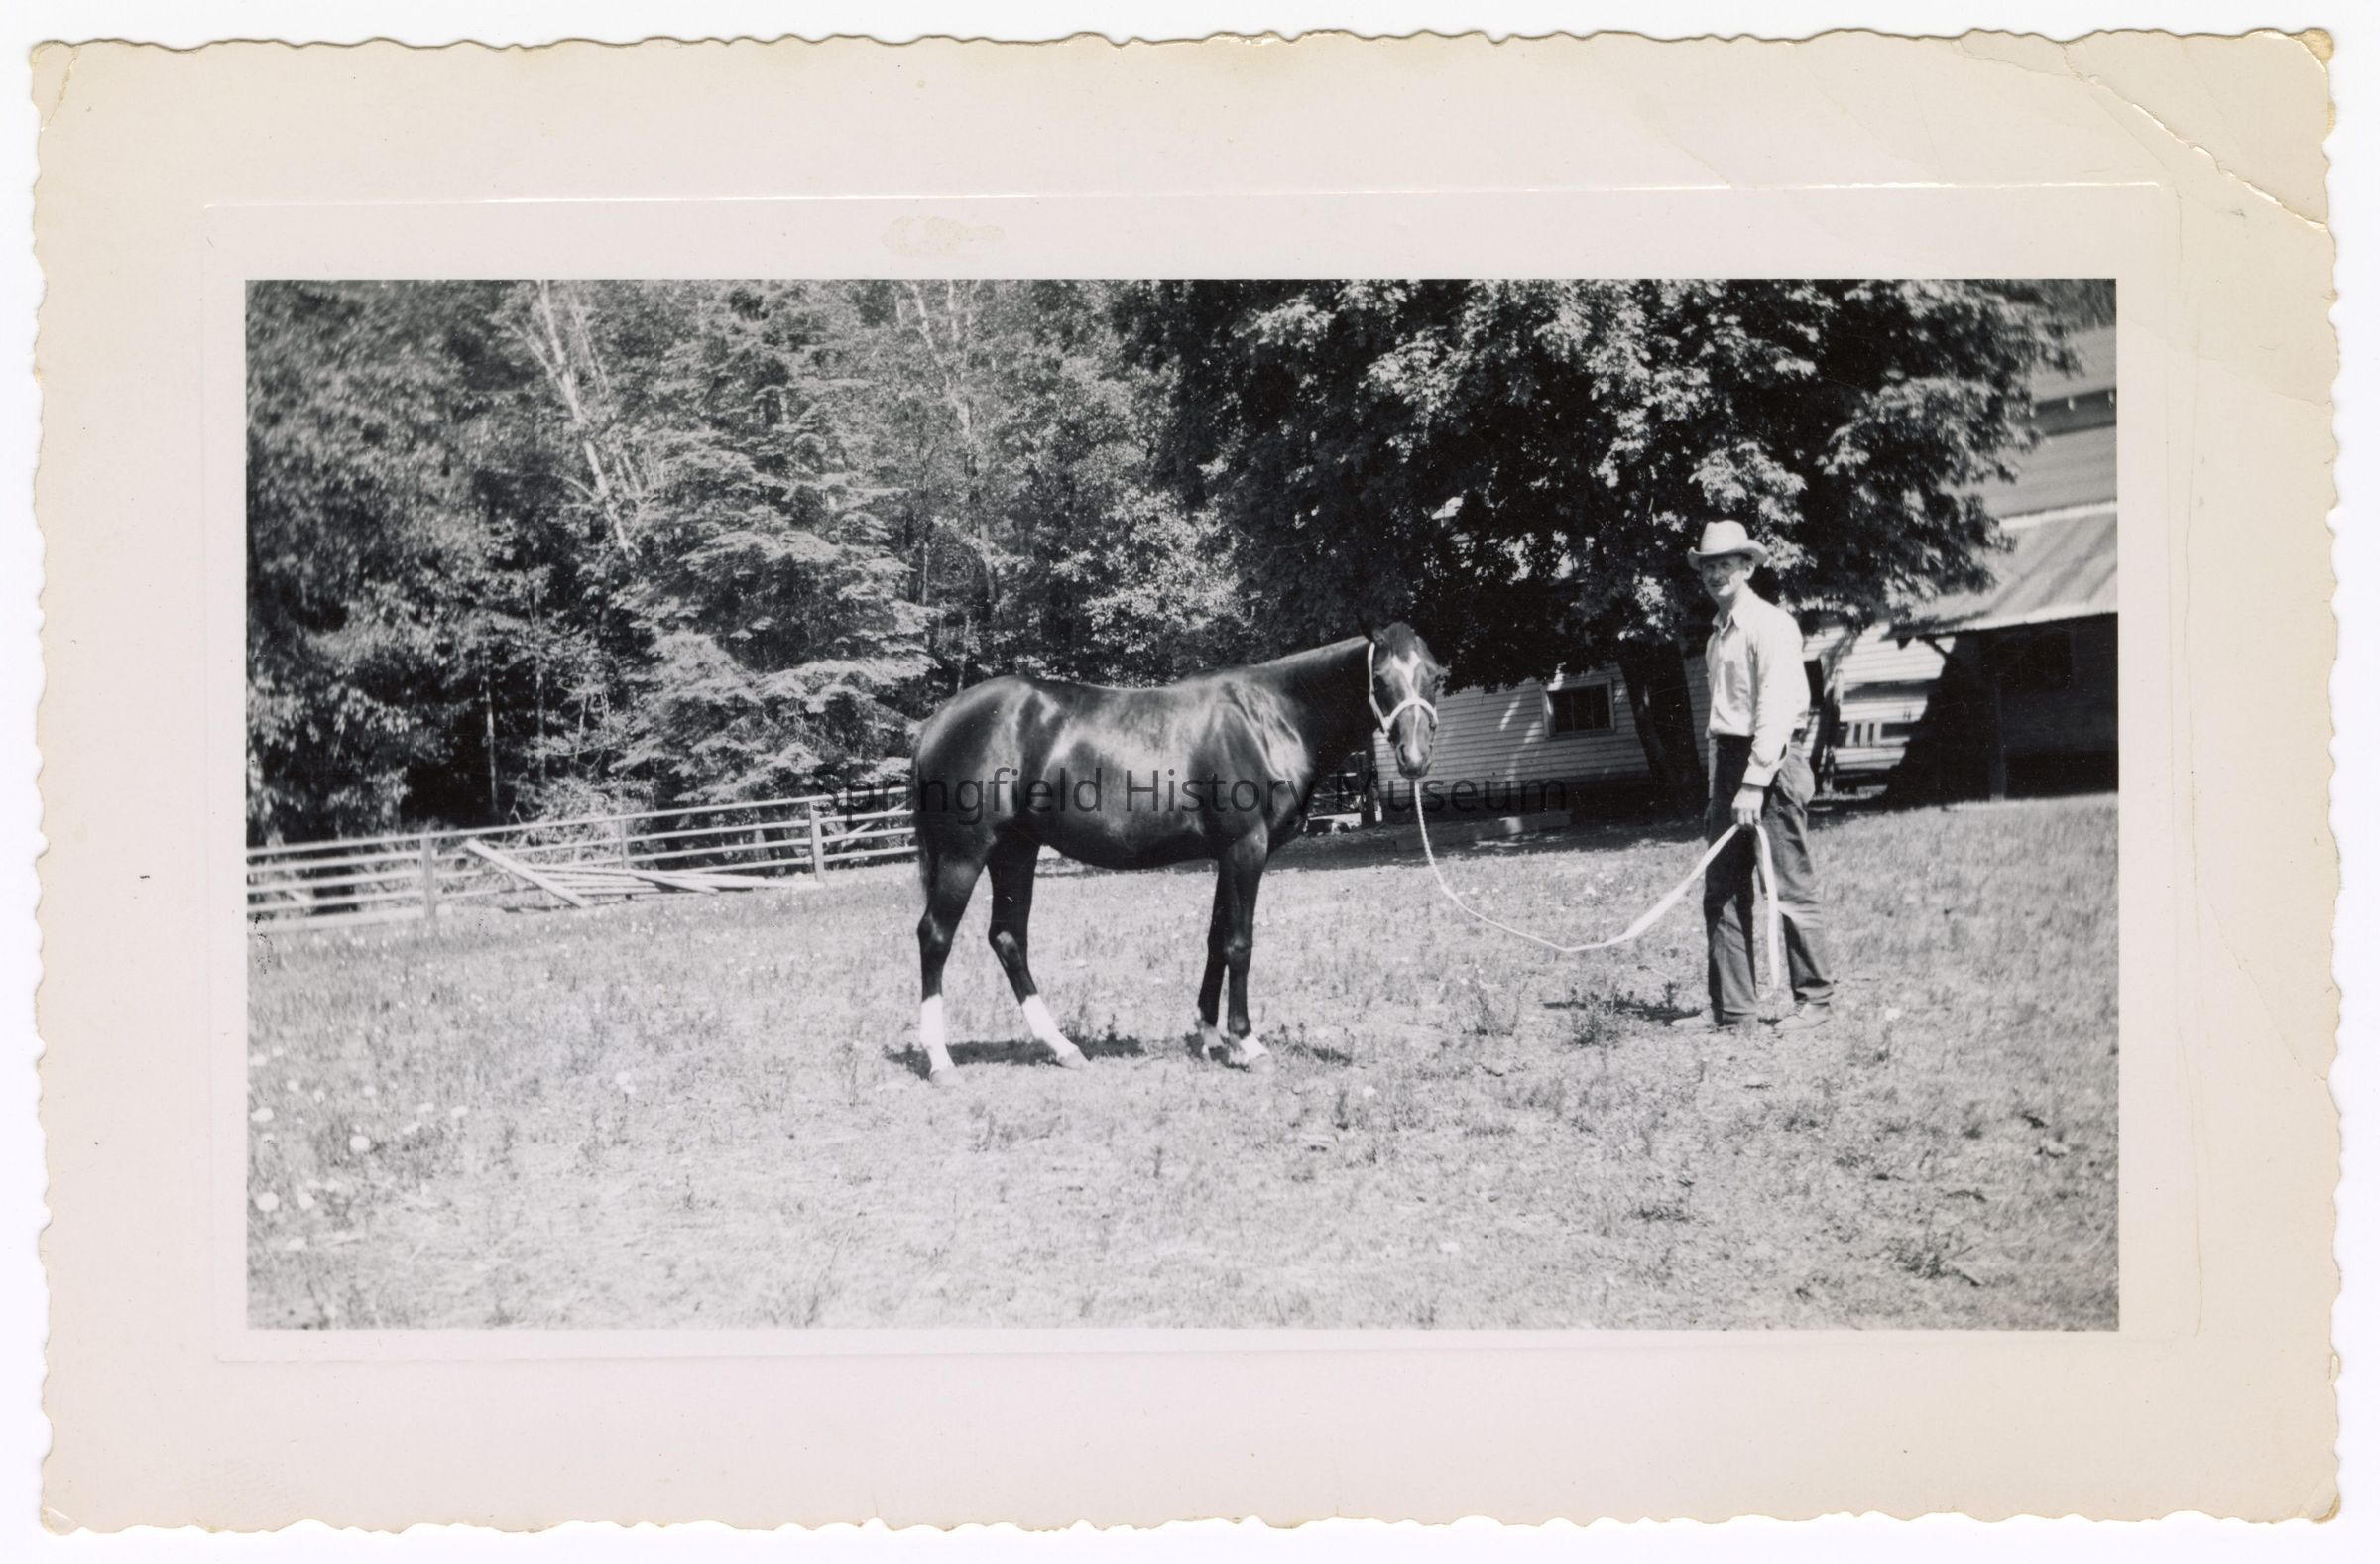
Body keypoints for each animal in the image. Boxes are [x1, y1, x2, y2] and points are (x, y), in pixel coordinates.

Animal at [907, 624, 1447, 1086]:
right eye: (1381, 679)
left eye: (1435, 676)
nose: (1415, 757)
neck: (1268, 717)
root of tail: (938, 722)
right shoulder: (1246, 848)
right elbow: (1239, 943)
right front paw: (1248, 1043)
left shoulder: (1226, 854)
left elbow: (1215, 939)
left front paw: (1210, 1037)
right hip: (964, 854)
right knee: (936, 936)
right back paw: (941, 1060)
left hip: (1015, 851)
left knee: (1007, 938)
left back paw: (1062, 1048)